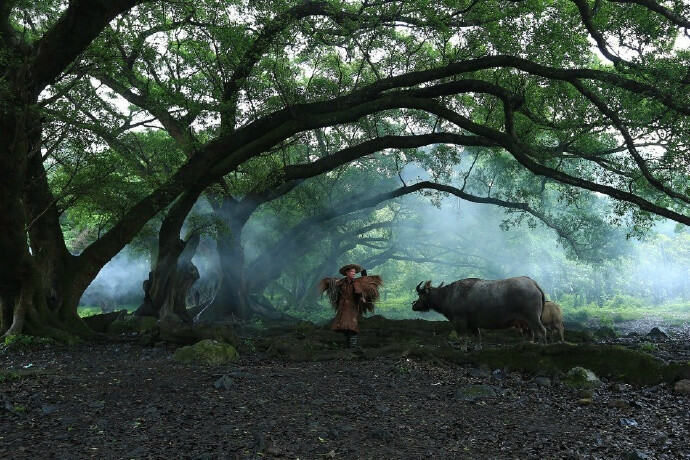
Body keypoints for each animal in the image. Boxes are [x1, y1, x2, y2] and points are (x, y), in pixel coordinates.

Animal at [412, 276, 544, 348]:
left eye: (421, 294)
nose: (414, 306)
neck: (449, 295)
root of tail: (533, 283)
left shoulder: (460, 321)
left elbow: (462, 338)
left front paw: (463, 349)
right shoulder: (473, 324)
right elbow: (477, 337)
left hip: (533, 318)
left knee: (542, 331)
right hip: (525, 322)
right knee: (529, 334)